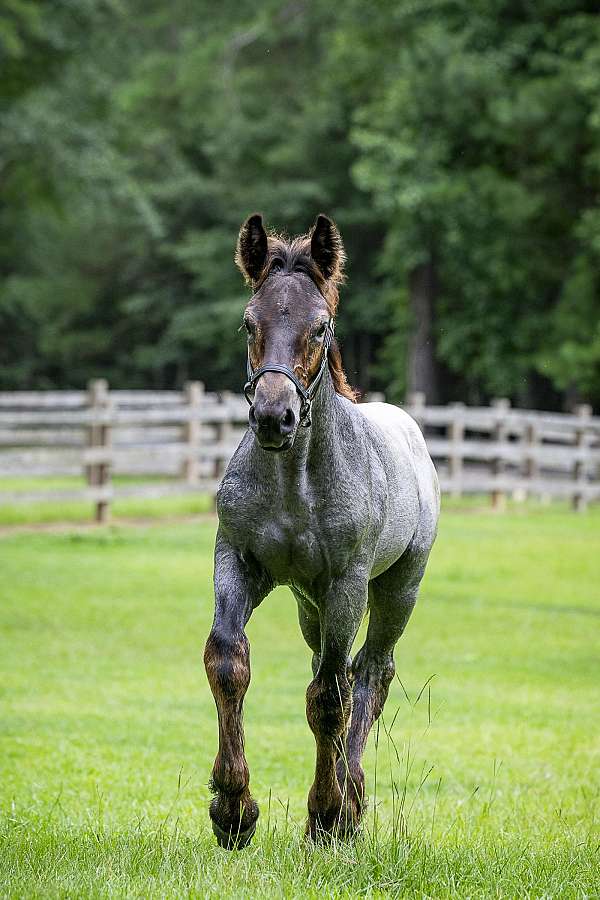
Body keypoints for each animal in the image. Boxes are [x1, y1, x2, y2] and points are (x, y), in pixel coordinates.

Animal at [204, 213, 440, 848]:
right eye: (249, 322)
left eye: (321, 326)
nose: (273, 417)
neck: (295, 486)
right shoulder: (238, 560)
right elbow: (228, 662)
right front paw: (233, 809)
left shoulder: (346, 585)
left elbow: (333, 698)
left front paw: (327, 814)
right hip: (309, 605)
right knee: (328, 671)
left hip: (394, 592)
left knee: (369, 676)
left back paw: (351, 799)